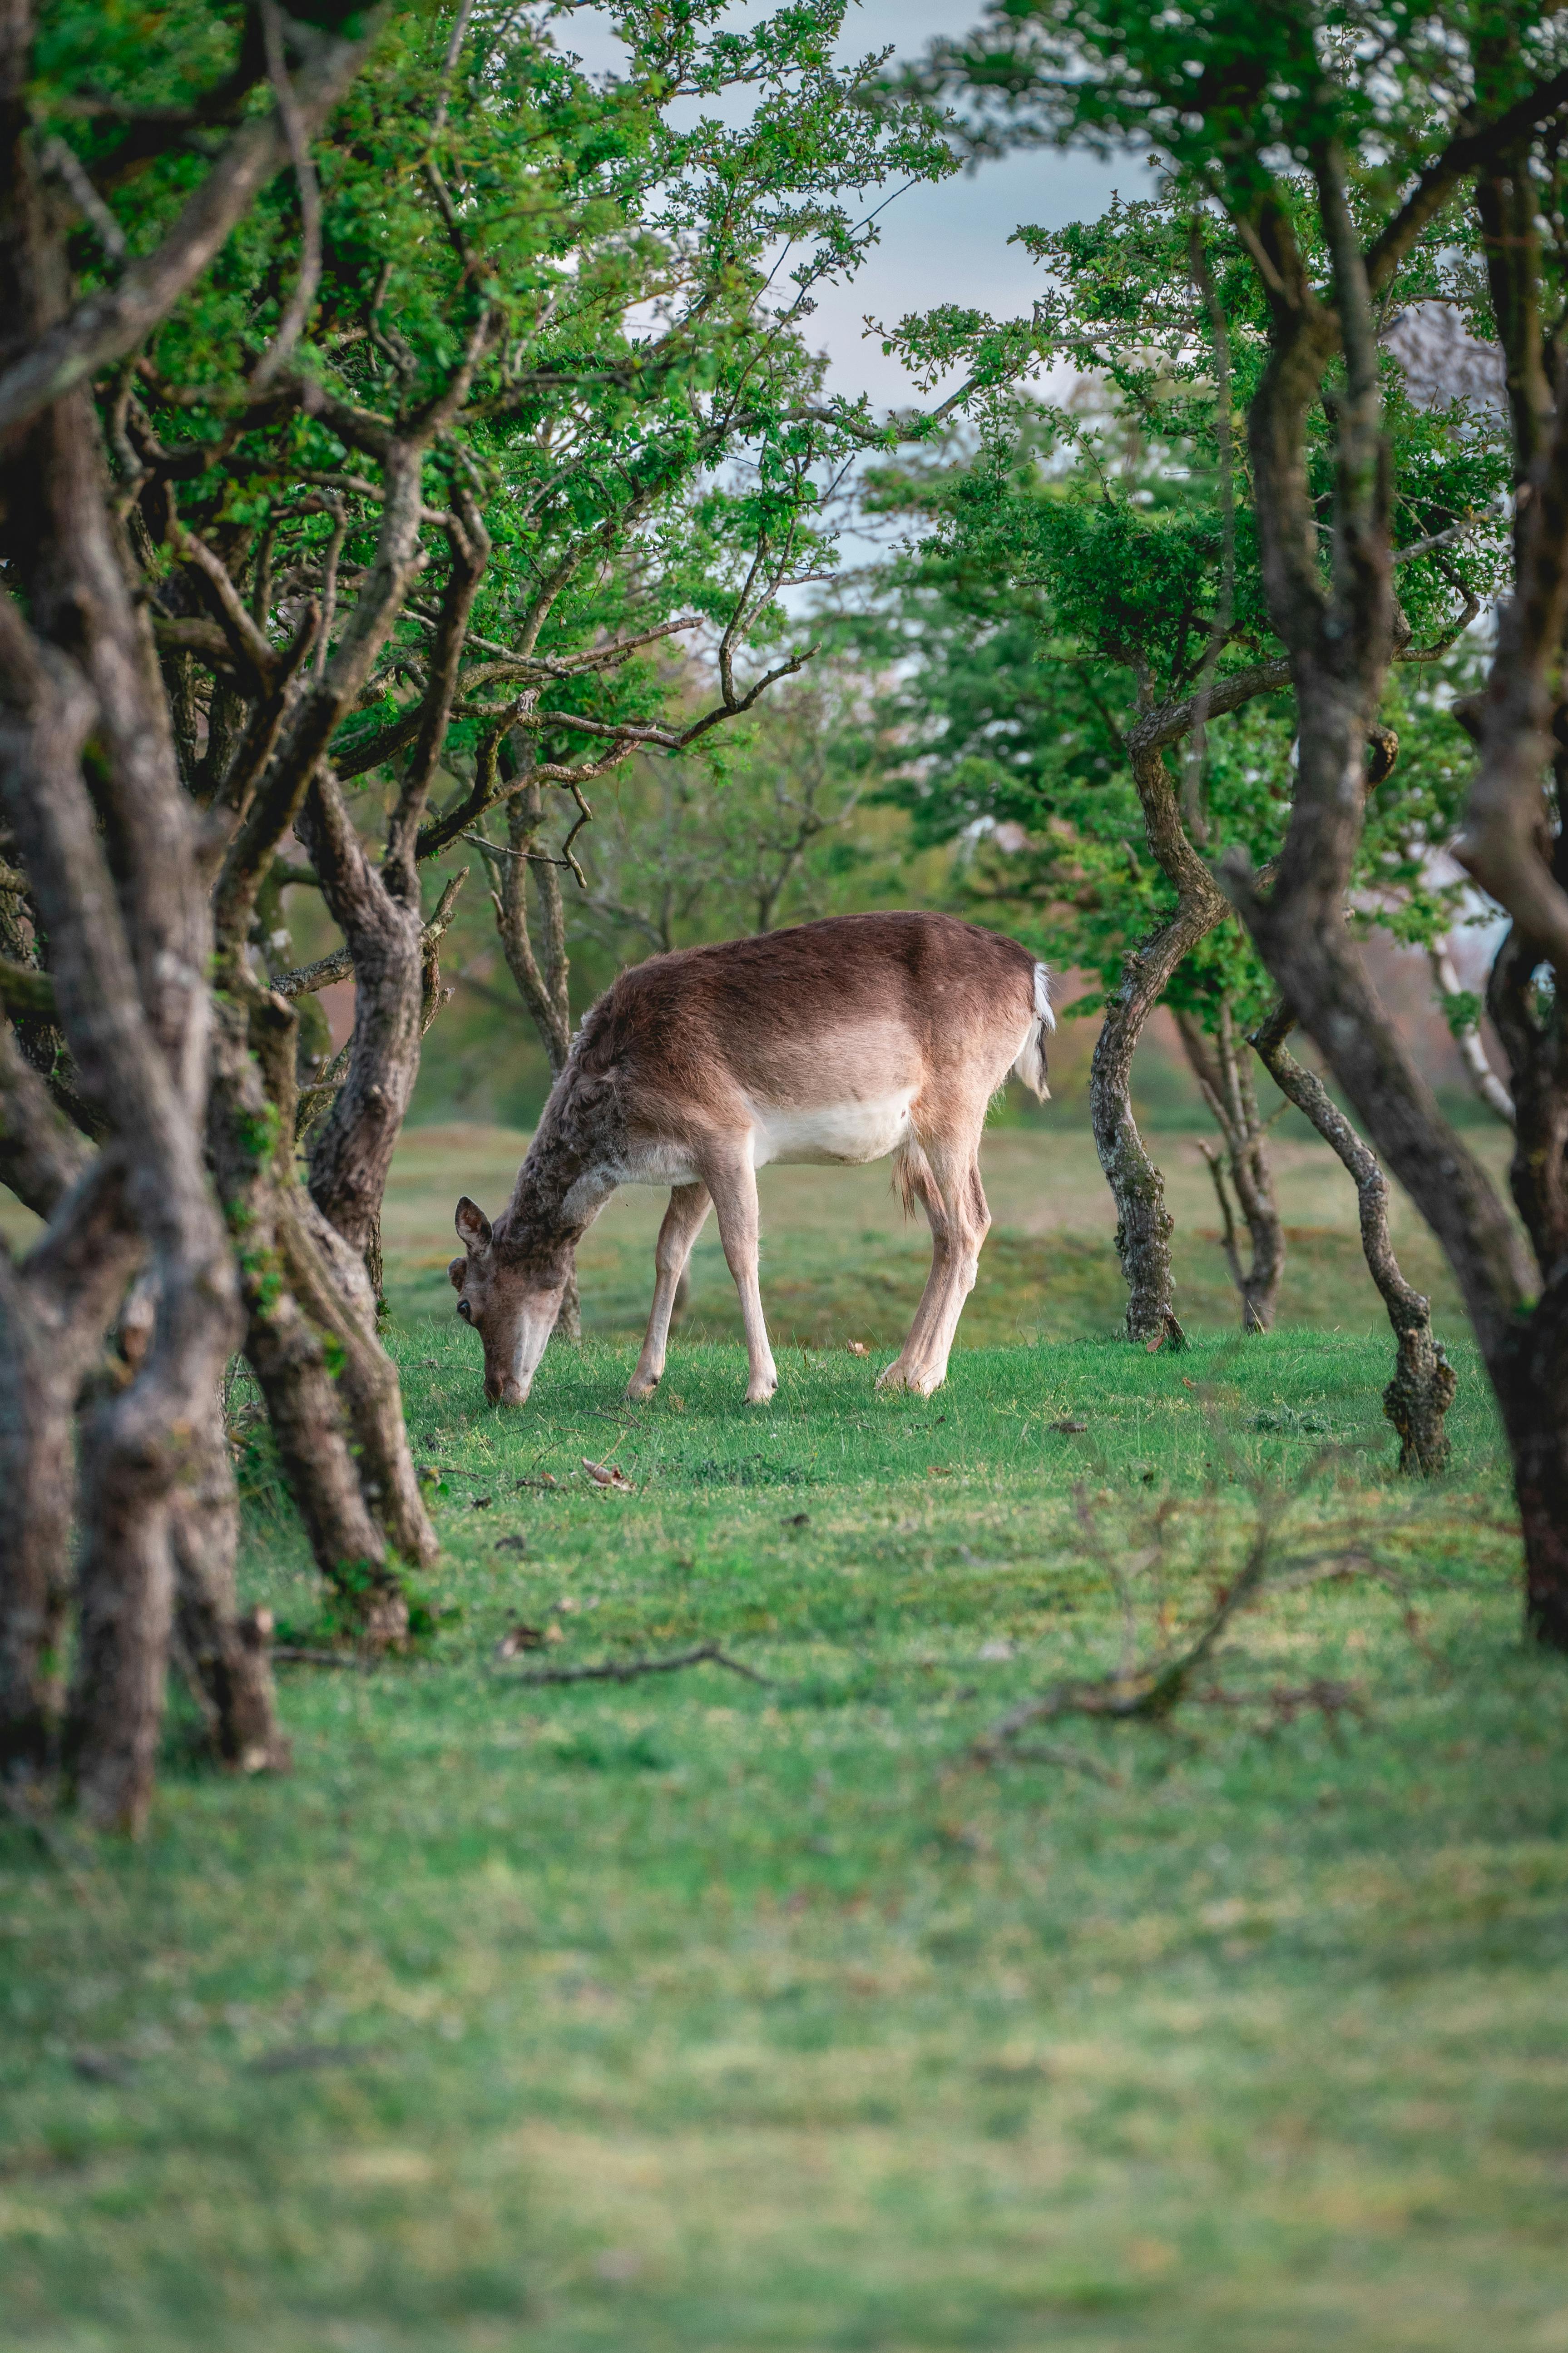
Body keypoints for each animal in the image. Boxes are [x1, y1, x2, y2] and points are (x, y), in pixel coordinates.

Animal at [445, 913, 1050, 1393]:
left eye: (466, 1306)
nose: (499, 1392)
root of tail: (1036, 975)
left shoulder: (727, 1134)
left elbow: (741, 1249)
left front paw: (762, 1384)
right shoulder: (689, 1165)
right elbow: (669, 1252)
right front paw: (642, 1382)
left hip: (959, 1103)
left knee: (972, 1223)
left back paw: (925, 1378)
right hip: (921, 1138)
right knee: (947, 1232)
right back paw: (899, 1373)